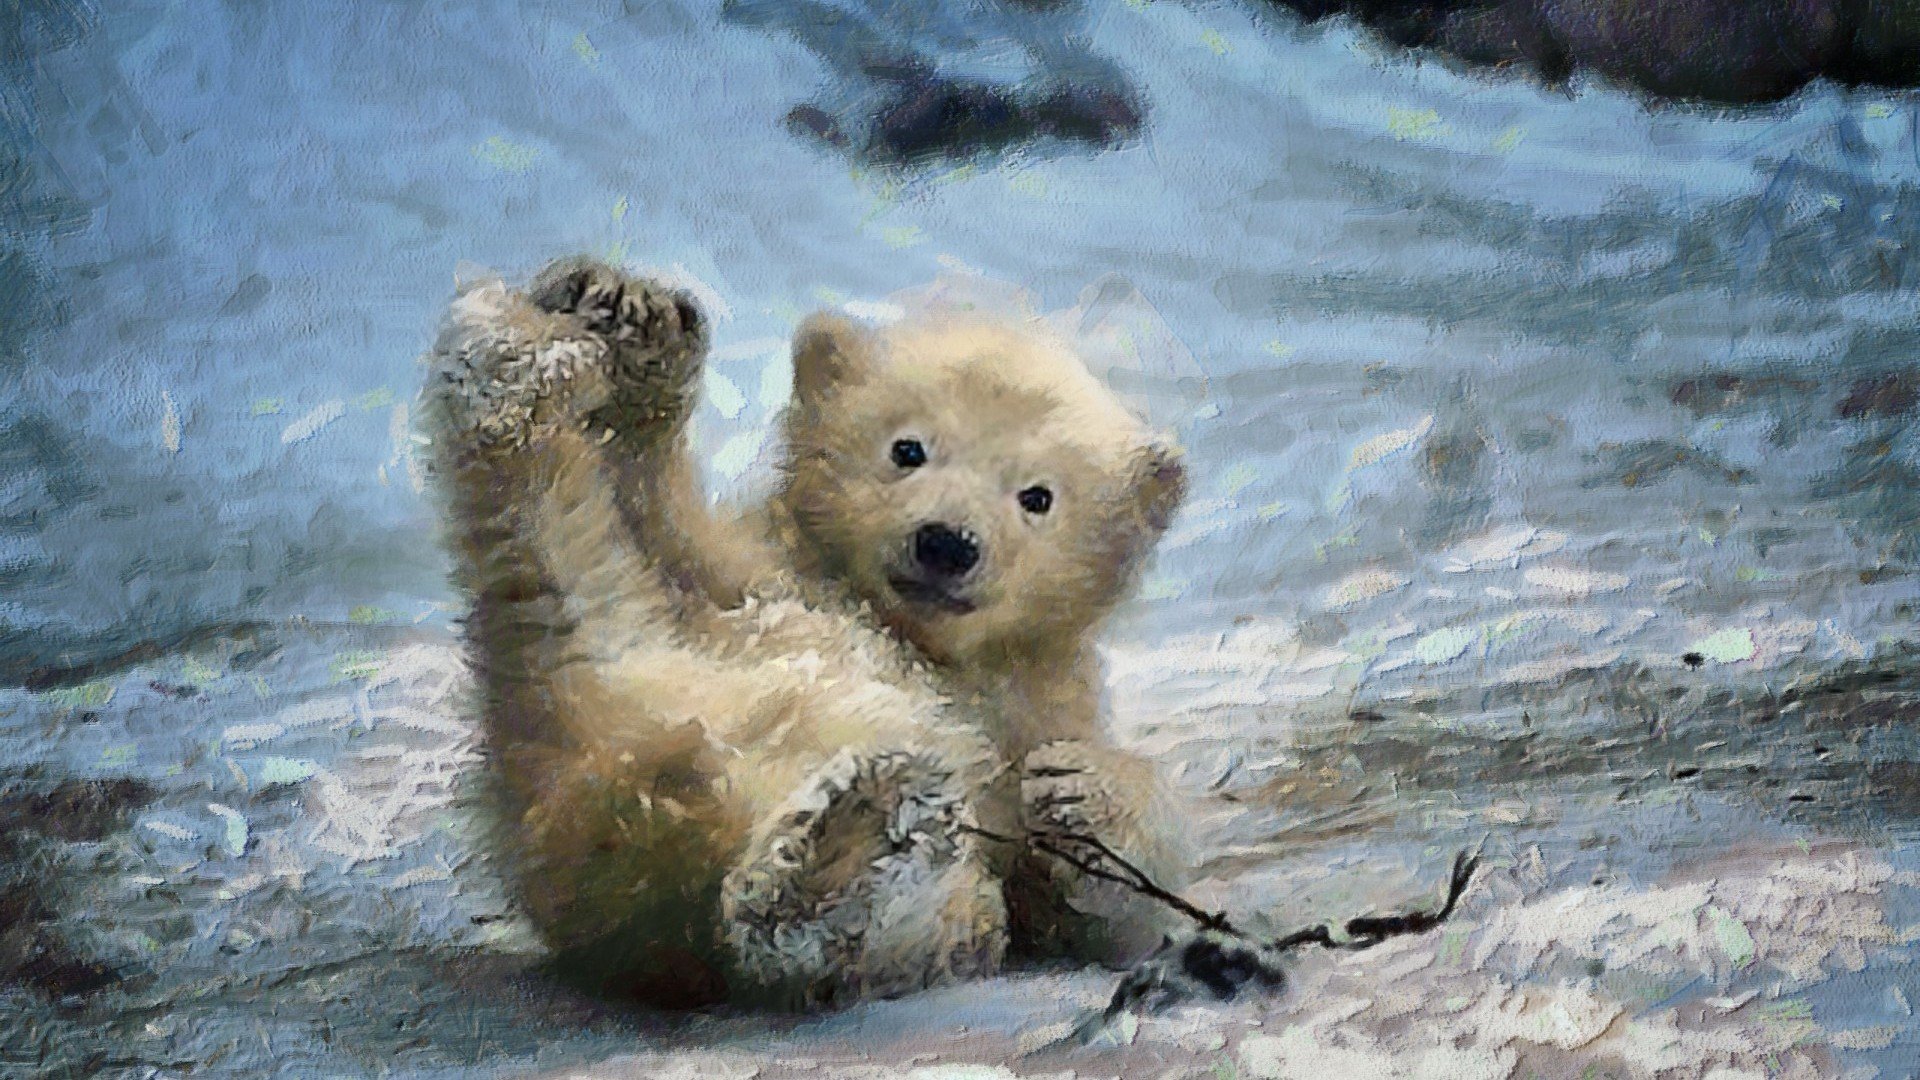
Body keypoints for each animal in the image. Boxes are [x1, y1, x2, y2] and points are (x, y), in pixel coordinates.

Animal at [420, 256, 1190, 1009]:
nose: (946, 542)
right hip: (601, 692)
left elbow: (1100, 917)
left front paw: (1084, 786)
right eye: (907, 449)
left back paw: (852, 845)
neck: (913, 636)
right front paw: (635, 321)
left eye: (1037, 495)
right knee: (564, 563)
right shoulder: (763, 571)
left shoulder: (1035, 701)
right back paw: (513, 361)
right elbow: (671, 534)